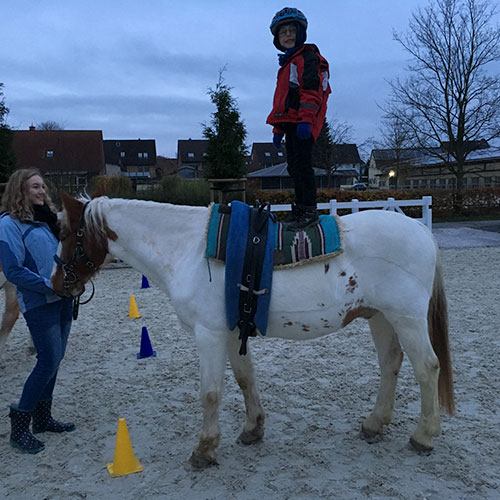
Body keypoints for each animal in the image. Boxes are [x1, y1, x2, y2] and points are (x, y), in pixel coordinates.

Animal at [51, 192, 454, 468]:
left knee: (427, 369)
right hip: (381, 317)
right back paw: (374, 423)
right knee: (390, 366)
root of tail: (419, 228)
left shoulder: (208, 334)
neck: (187, 249)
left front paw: (205, 448)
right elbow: (246, 380)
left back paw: (423, 436)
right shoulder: (231, 332)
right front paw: (253, 429)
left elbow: (210, 393)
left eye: (68, 233)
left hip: (406, 318)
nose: (56, 283)